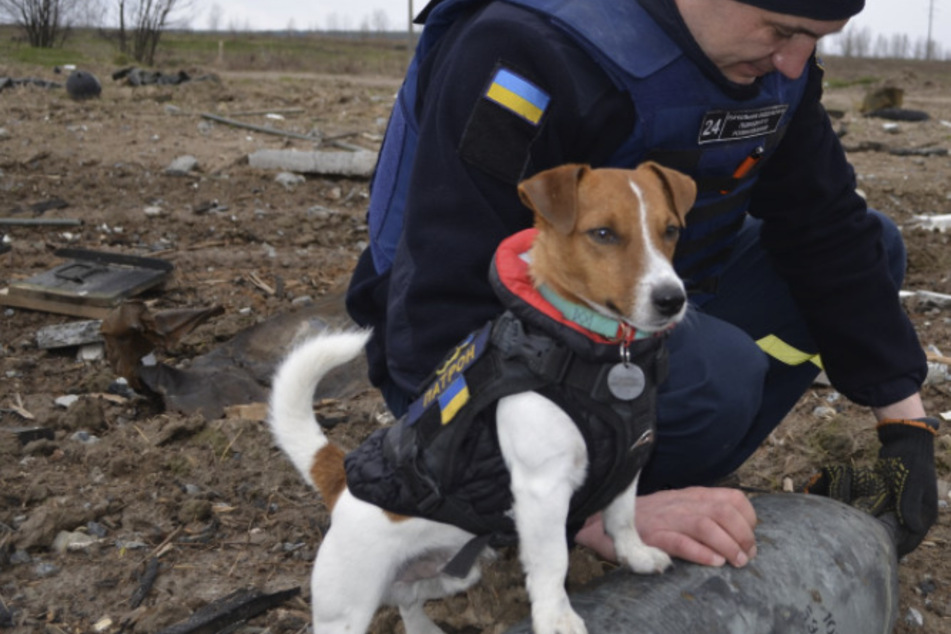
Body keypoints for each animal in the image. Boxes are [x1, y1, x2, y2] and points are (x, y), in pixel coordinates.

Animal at [268, 162, 700, 632]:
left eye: (671, 230)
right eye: (603, 233)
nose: (672, 299)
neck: (601, 354)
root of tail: (340, 481)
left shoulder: (630, 460)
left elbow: (622, 517)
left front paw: (635, 556)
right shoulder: (542, 490)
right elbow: (553, 561)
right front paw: (556, 616)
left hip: (453, 573)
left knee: (409, 599)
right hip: (348, 604)